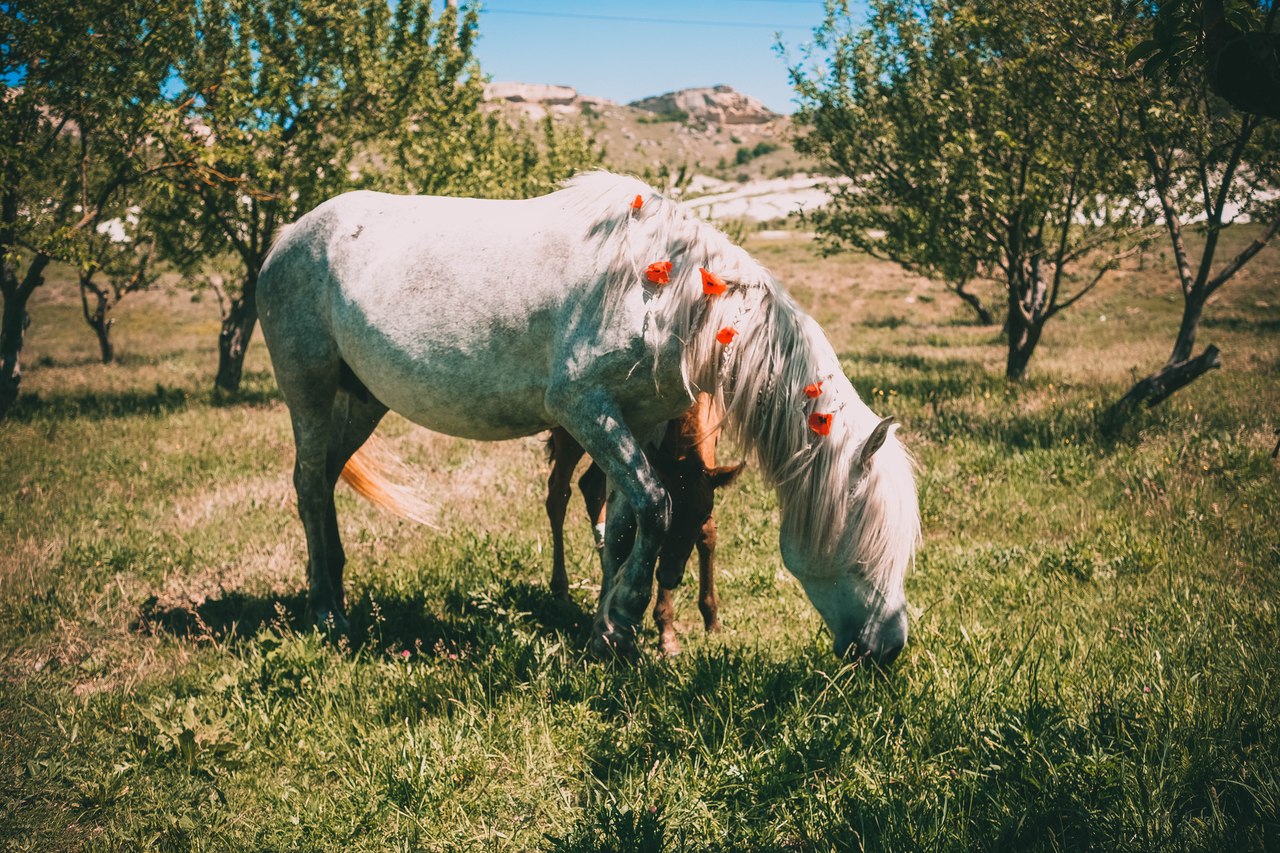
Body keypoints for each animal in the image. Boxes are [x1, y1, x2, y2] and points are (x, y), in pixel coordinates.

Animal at [545, 389, 747, 650]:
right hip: (568, 432)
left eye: (702, 514)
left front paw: (711, 619)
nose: (670, 577)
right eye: (671, 512)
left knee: (591, 487)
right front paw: (667, 630)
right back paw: (561, 592)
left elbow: (707, 533)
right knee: (558, 494)